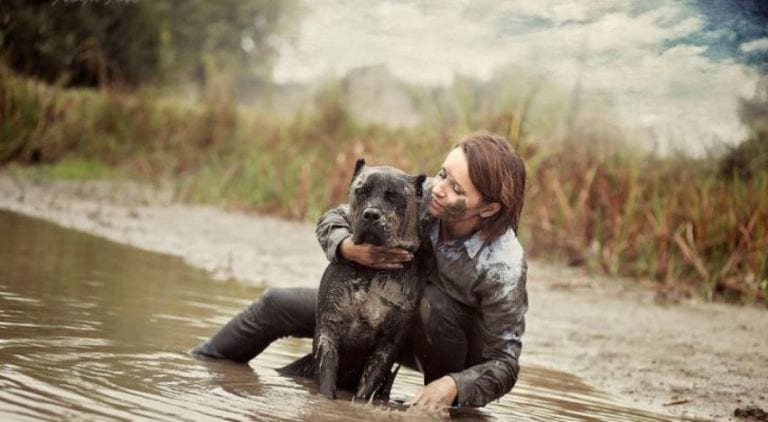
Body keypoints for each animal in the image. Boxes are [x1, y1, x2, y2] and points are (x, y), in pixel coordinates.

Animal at [282, 159, 426, 402]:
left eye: (394, 196)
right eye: (362, 190)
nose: (372, 214)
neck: (371, 271)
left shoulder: (388, 343)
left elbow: (366, 388)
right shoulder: (328, 330)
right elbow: (327, 382)